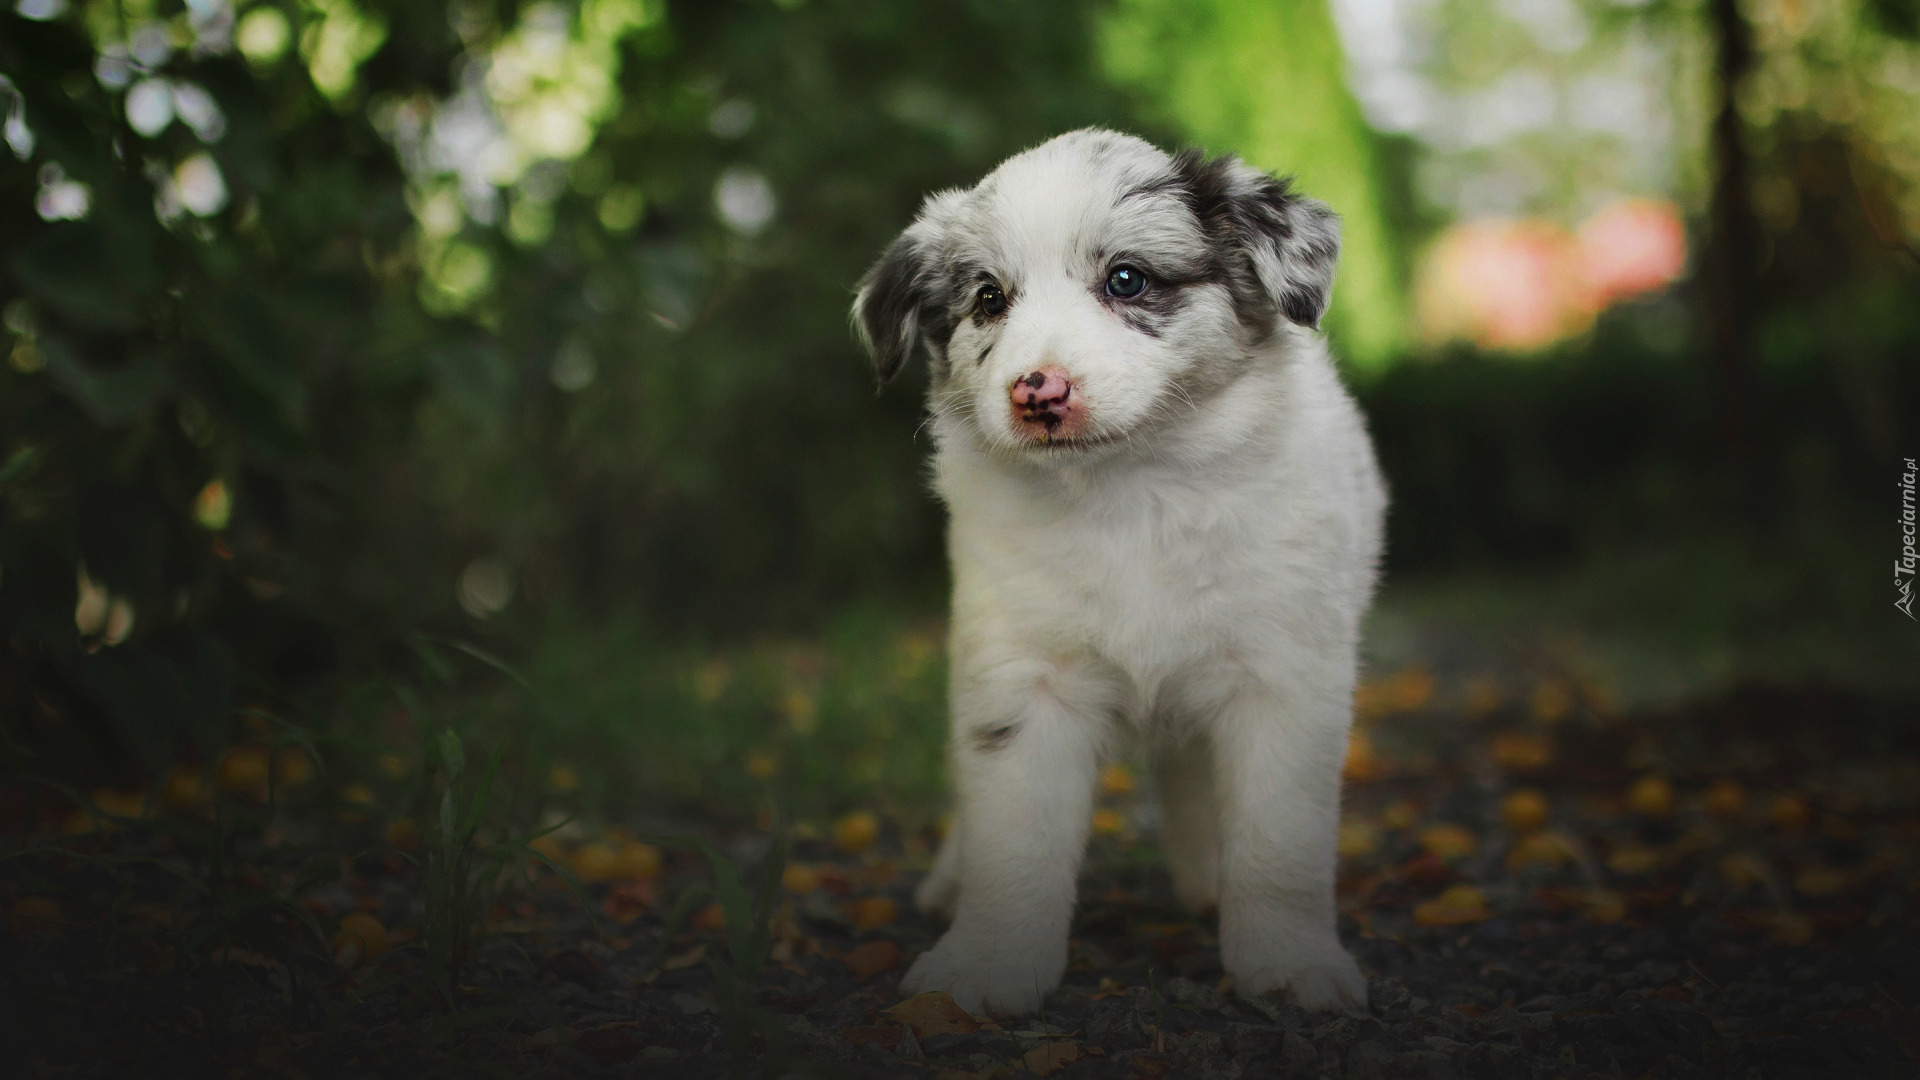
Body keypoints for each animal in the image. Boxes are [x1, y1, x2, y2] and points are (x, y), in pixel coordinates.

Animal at [852, 130, 1382, 1014]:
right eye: (989, 299)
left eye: (1126, 279)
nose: (1039, 392)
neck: (1128, 490)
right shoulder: (1021, 672)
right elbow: (1013, 835)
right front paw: (986, 965)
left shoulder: (1282, 673)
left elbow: (1278, 840)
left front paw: (1288, 962)